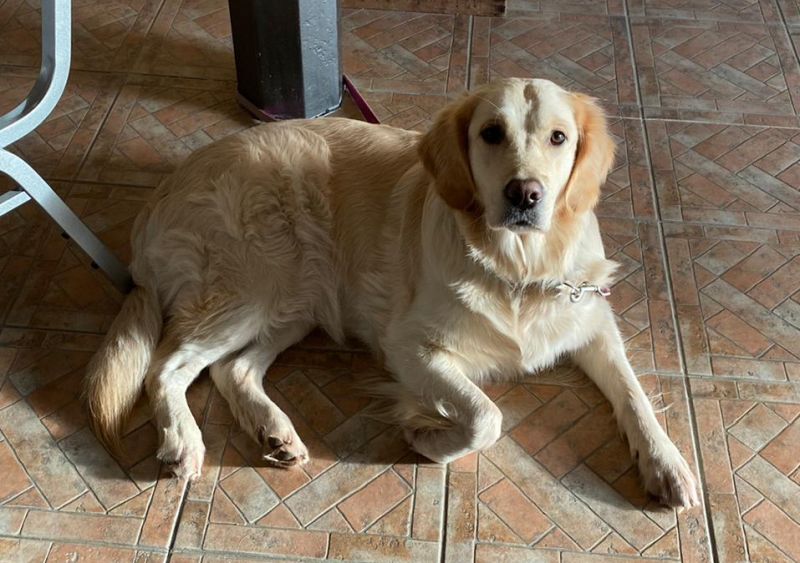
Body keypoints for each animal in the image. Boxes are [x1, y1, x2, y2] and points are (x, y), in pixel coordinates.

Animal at [84, 77, 699, 508]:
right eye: (490, 133)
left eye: (559, 137)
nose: (524, 194)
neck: (518, 268)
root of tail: (158, 201)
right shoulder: (408, 346)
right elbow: (486, 416)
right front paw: (428, 439)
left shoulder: (592, 323)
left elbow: (633, 395)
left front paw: (667, 465)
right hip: (258, 283)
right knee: (166, 365)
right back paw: (183, 442)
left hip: (295, 302)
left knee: (230, 369)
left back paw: (275, 432)